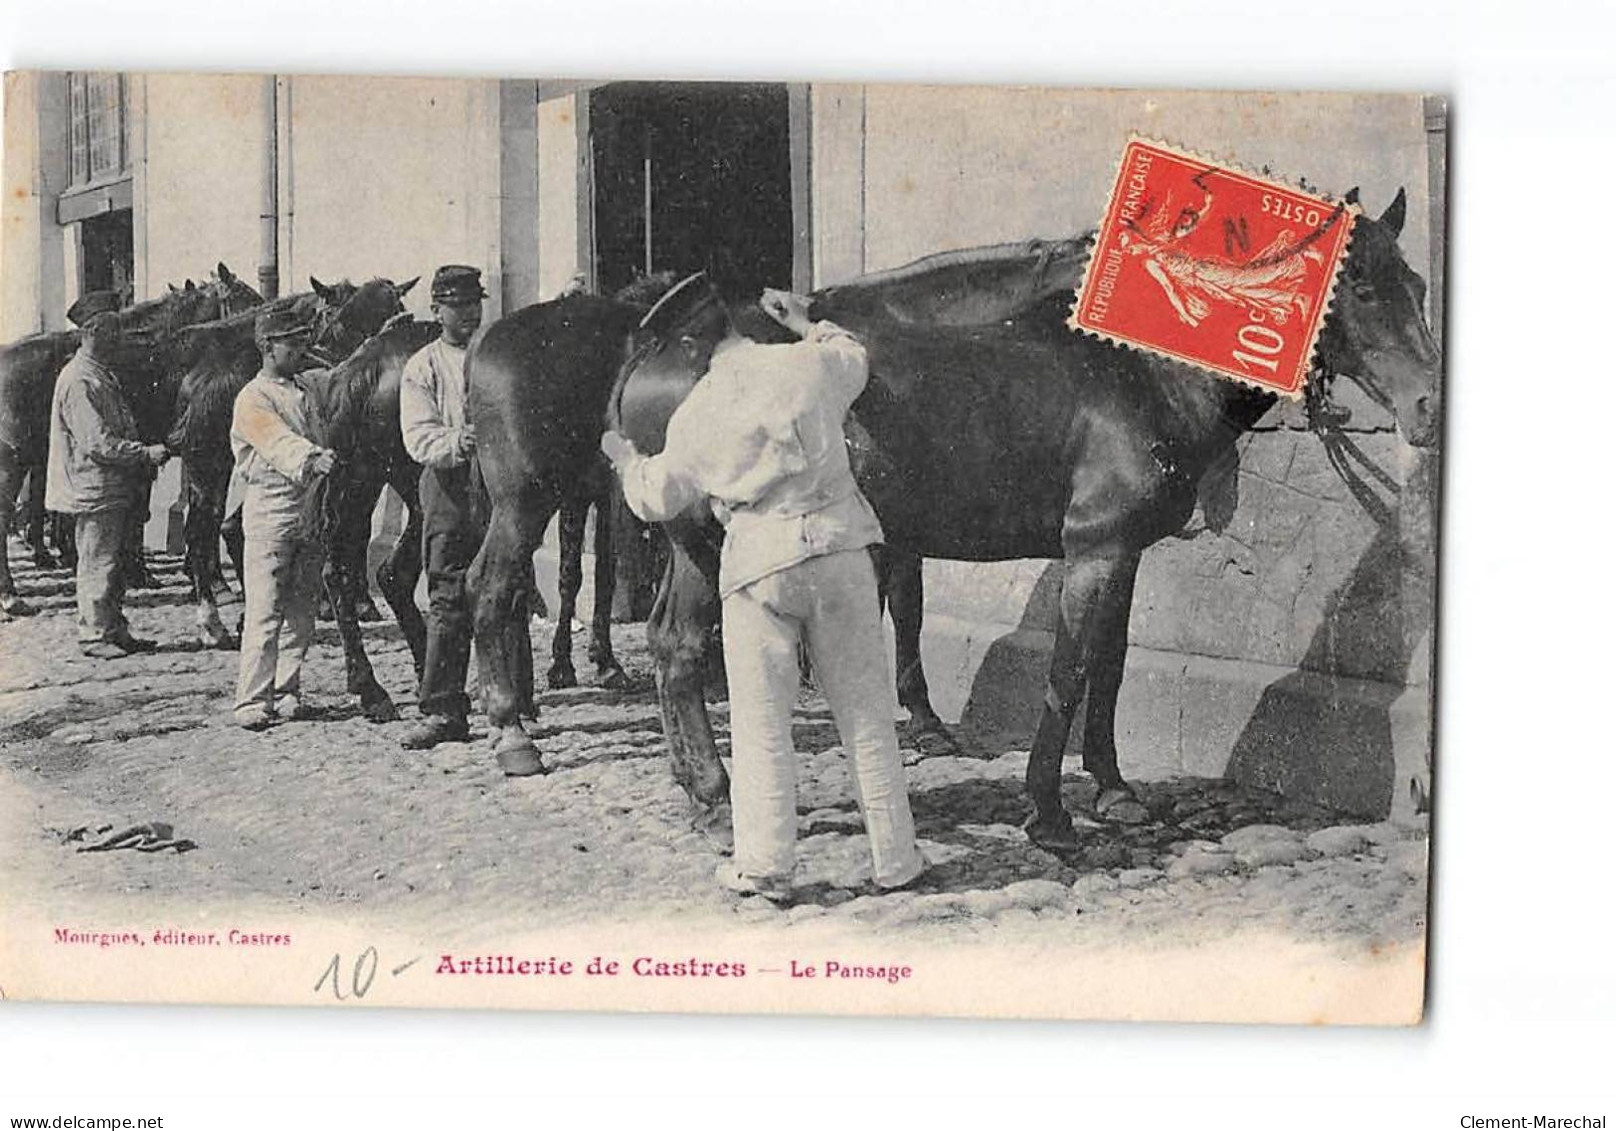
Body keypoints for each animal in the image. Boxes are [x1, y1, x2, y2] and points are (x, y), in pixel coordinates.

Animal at [607, 189, 1441, 853]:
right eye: (1360, 286)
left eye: (1418, 283)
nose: (1428, 404)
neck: (1139, 371)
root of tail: (660, 342)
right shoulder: (1094, 547)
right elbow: (1067, 671)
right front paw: (1048, 811)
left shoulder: (1122, 551)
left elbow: (1108, 664)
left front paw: (1114, 790)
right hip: (717, 544)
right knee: (686, 650)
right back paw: (719, 797)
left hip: (694, 549)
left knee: (673, 645)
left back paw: (707, 797)